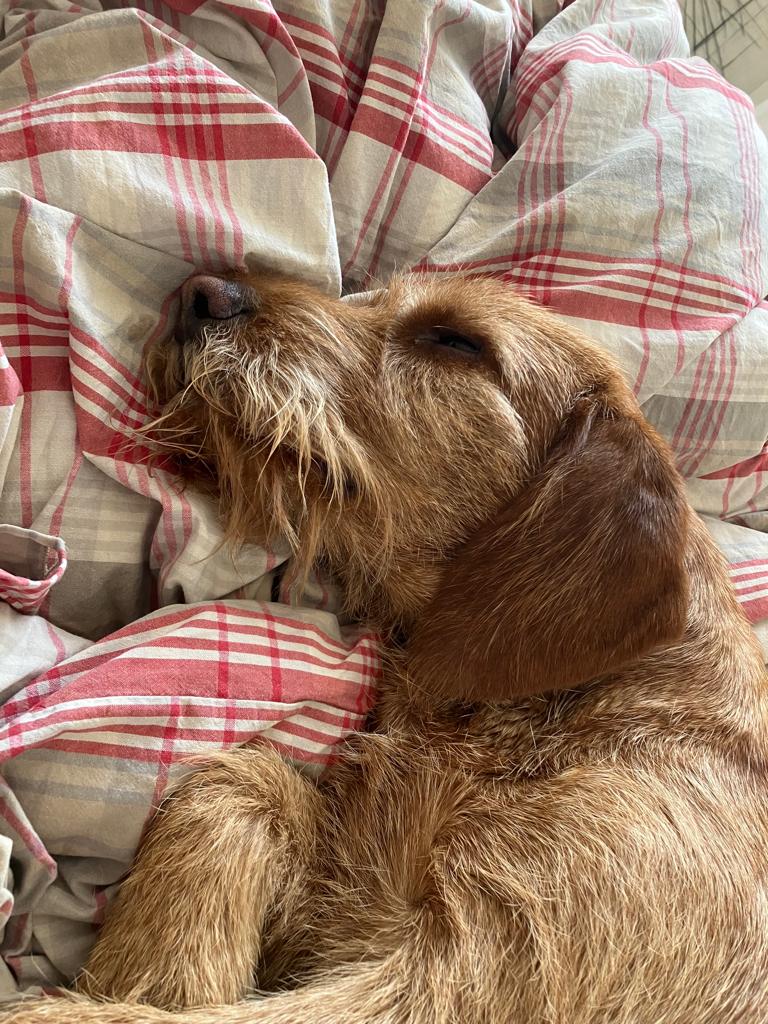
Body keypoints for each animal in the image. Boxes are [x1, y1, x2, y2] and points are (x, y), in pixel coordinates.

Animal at [5, 272, 768, 1024]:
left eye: (456, 340)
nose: (203, 292)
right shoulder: (354, 902)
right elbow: (240, 783)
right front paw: (146, 971)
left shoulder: (478, 970)